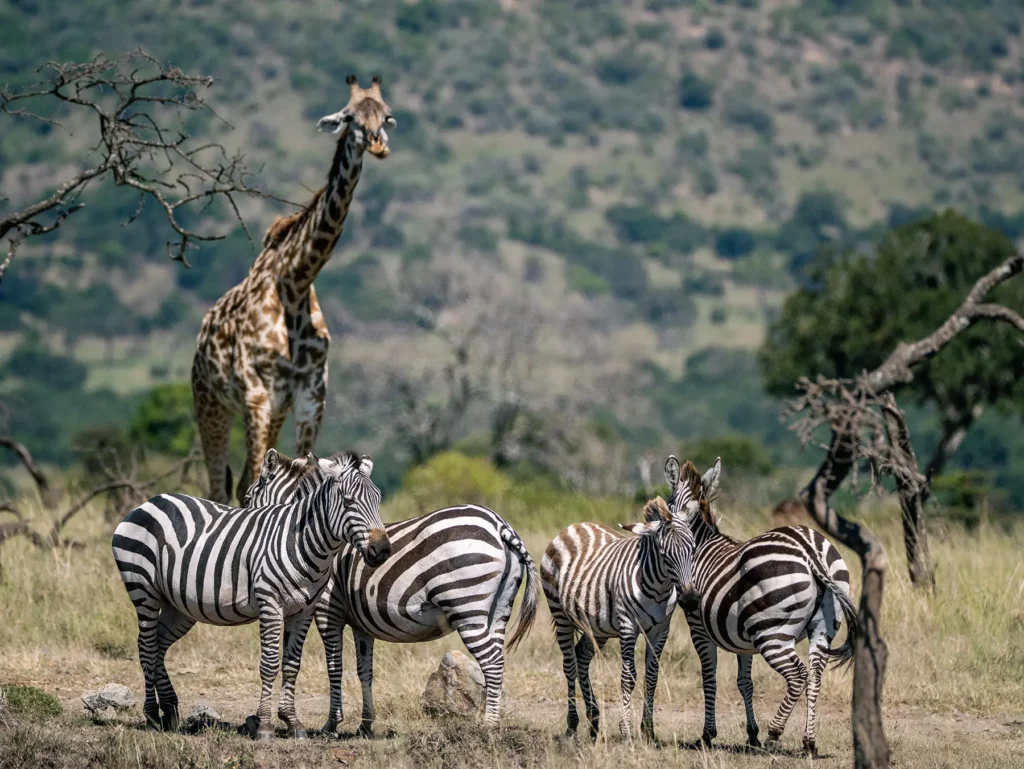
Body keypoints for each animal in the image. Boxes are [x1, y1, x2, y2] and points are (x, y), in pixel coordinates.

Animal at [111, 450, 390, 740]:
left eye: (378, 499)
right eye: (348, 501)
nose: (382, 550)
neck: (301, 542)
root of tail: (151, 502)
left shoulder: (304, 610)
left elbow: (291, 665)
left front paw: (292, 722)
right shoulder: (270, 602)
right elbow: (269, 663)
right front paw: (265, 725)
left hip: (178, 606)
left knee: (158, 645)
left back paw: (169, 710)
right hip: (143, 589)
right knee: (146, 646)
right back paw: (152, 715)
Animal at [191, 75, 396, 504]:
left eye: (386, 115)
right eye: (349, 117)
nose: (377, 144)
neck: (295, 283)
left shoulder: (309, 397)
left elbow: (306, 471)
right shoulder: (256, 395)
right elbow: (252, 480)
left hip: (273, 409)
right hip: (211, 404)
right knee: (219, 483)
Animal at [244, 448, 539, 734]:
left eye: (247, 498)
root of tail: (500, 525)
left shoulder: (328, 608)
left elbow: (334, 667)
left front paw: (331, 725)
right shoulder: (361, 623)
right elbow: (364, 670)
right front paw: (366, 724)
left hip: (467, 605)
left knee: (491, 662)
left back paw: (489, 727)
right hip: (499, 609)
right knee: (498, 659)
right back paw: (494, 721)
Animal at [539, 476, 701, 743]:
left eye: (694, 549)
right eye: (664, 554)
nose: (689, 599)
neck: (659, 587)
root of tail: (574, 526)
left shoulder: (661, 630)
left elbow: (652, 676)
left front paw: (648, 731)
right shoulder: (628, 626)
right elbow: (628, 677)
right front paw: (626, 731)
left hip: (597, 626)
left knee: (581, 656)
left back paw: (594, 721)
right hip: (559, 613)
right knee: (569, 663)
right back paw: (572, 725)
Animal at [664, 455, 858, 755]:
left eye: (670, 504)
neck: (699, 547)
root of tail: (808, 548)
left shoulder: (698, 625)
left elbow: (709, 677)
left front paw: (708, 735)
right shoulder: (741, 638)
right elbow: (745, 682)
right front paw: (751, 734)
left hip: (772, 633)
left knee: (798, 676)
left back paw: (774, 733)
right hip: (822, 627)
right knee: (815, 676)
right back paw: (809, 742)